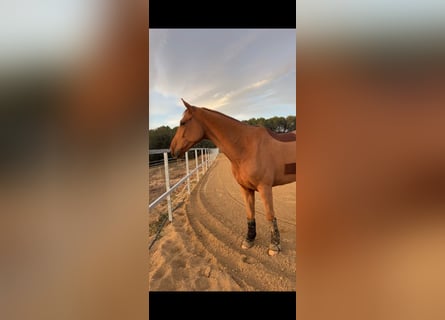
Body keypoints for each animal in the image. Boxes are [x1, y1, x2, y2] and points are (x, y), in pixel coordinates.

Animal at [170, 99, 294, 256]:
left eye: (183, 122)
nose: (172, 149)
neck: (246, 147)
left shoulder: (265, 188)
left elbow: (269, 215)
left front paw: (274, 246)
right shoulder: (245, 188)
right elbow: (250, 214)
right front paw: (249, 240)